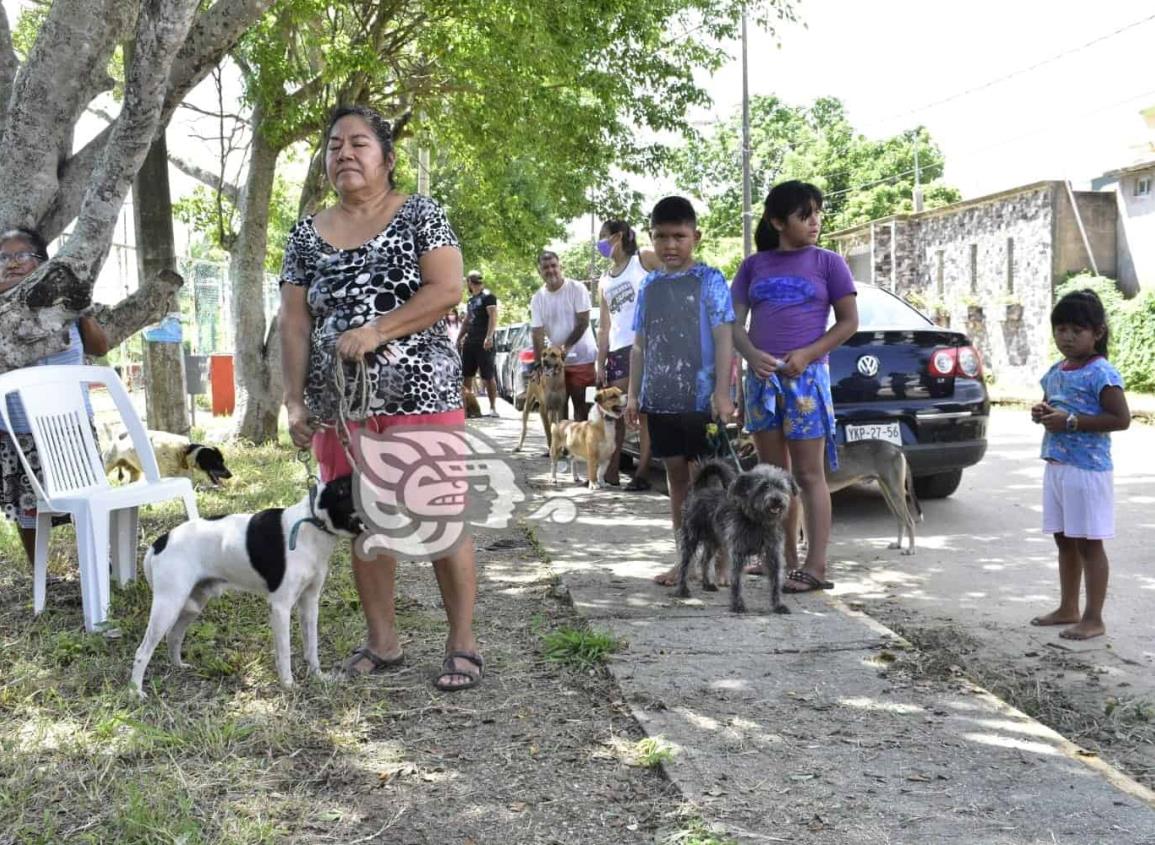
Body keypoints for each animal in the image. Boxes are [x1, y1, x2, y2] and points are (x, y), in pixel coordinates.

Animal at [129, 475, 360, 692]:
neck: (311, 525)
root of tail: (160, 542)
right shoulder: (280, 607)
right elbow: (284, 652)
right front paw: (288, 685)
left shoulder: (309, 602)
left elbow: (312, 646)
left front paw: (318, 676)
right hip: (168, 605)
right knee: (142, 651)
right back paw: (135, 691)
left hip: (192, 603)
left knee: (174, 635)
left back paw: (178, 666)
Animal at [674, 461, 799, 614]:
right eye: (764, 486)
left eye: (781, 487)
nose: (776, 499)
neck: (757, 521)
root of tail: (701, 489)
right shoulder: (738, 554)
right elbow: (737, 581)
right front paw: (737, 605)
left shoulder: (773, 554)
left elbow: (776, 580)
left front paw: (778, 605)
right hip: (691, 538)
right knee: (684, 564)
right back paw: (682, 589)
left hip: (714, 541)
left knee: (705, 560)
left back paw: (707, 584)